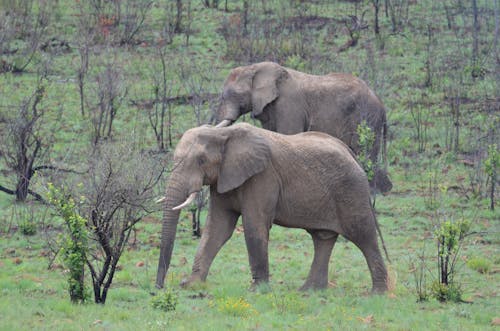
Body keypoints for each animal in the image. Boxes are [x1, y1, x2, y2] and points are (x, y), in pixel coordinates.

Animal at [154, 124, 388, 294]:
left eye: (201, 160)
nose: (158, 288)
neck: (222, 132)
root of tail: (351, 154)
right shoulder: (223, 178)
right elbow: (217, 229)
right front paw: (191, 285)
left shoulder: (263, 176)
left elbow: (253, 225)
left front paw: (257, 291)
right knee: (323, 238)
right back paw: (308, 291)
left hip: (352, 191)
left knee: (364, 236)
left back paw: (377, 294)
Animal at [214, 61, 390, 195]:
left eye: (232, 94)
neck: (255, 67)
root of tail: (381, 104)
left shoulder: (290, 106)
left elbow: (288, 134)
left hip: (367, 118)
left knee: (365, 151)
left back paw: (372, 190)